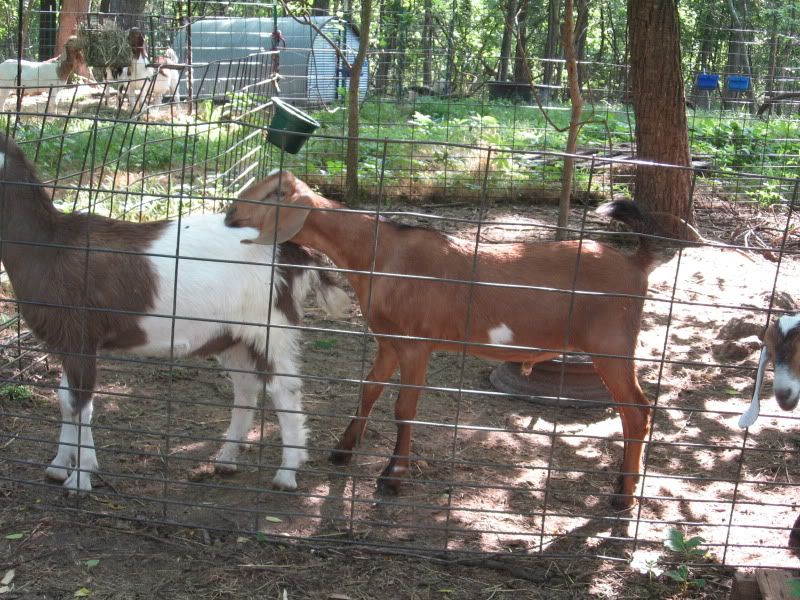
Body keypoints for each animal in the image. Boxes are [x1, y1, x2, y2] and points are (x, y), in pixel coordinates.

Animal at [0, 135, 350, 493]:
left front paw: (81, 478)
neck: (49, 246)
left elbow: (80, 403)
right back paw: (226, 459)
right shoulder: (66, 340)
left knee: (284, 388)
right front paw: (59, 466)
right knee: (246, 387)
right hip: (232, 335)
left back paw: (287, 473)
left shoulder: (82, 333)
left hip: (271, 324)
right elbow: (64, 399)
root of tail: (295, 252)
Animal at [224, 170, 673, 510]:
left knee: (637, 411)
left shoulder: (416, 344)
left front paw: (393, 477)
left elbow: (404, 409)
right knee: (632, 413)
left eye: (274, 193)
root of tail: (636, 263)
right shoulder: (388, 341)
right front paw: (342, 450)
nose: (230, 213)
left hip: (611, 347)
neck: (379, 253)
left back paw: (623, 497)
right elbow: (369, 389)